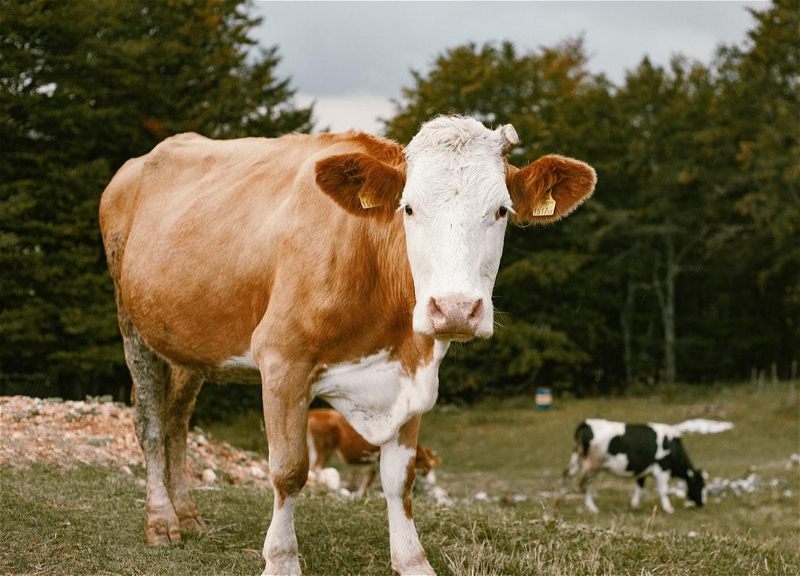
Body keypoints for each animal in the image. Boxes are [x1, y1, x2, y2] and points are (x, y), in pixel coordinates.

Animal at [308, 408, 444, 498]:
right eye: (427, 467)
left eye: (433, 466)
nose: (433, 481)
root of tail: (313, 413)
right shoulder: (377, 459)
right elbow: (369, 479)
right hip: (322, 449)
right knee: (317, 469)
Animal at [564, 418, 708, 512]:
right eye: (699, 485)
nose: (702, 503)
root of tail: (585, 423)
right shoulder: (662, 468)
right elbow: (663, 490)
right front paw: (668, 508)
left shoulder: (643, 470)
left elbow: (640, 486)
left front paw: (635, 504)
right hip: (593, 465)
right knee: (584, 484)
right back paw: (592, 508)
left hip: (576, 459)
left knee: (567, 475)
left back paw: (561, 499)